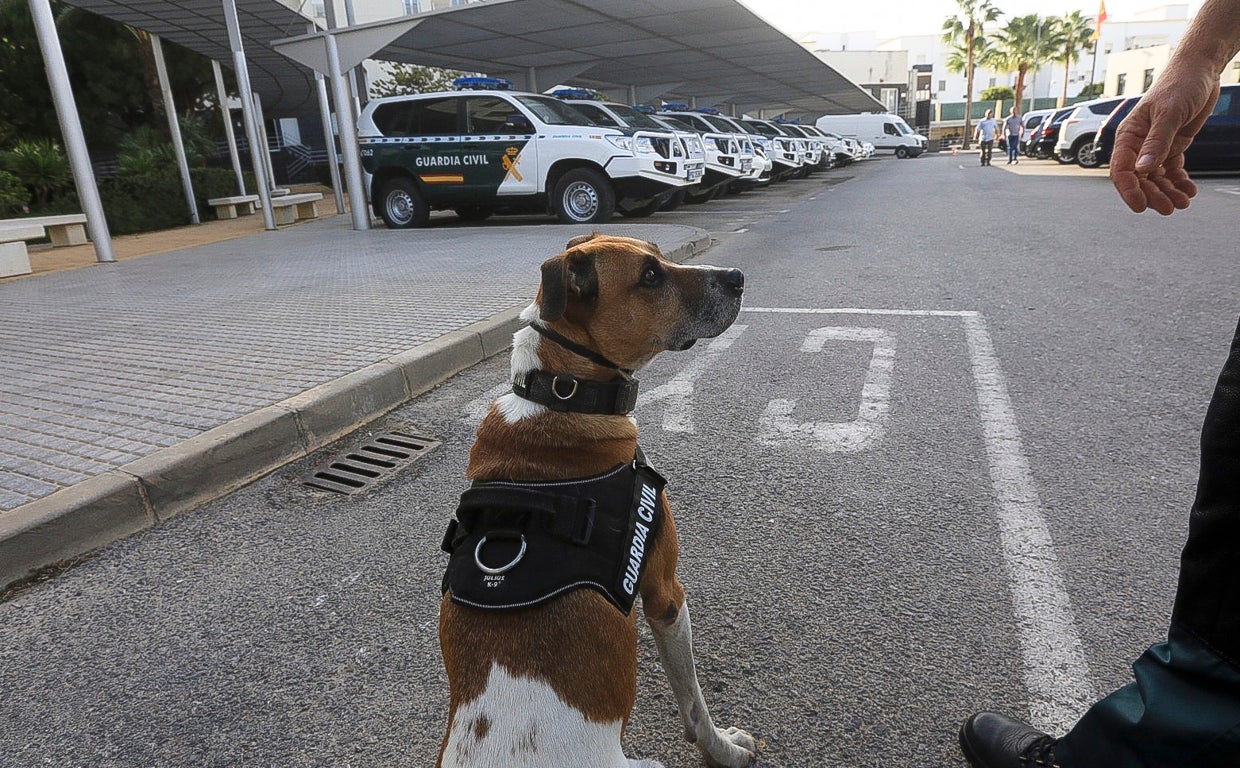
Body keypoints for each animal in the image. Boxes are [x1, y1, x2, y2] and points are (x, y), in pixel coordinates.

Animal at [436, 234, 753, 768]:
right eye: (650, 276)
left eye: (659, 254)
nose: (738, 277)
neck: (559, 397)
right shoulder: (666, 593)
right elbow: (694, 705)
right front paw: (724, 750)